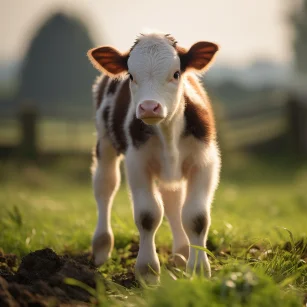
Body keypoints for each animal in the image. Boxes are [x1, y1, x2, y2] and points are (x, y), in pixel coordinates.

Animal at [88, 32, 220, 282]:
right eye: (131, 75)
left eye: (176, 74)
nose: (149, 107)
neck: (168, 133)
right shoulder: (137, 163)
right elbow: (148, 215)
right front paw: (148, 272)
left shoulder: (205, 161)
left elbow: (196, 217)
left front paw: (198, 270)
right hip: (104, 140)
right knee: (105, 187)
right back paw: (101, 249)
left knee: (172, 201)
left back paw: (181, 254)